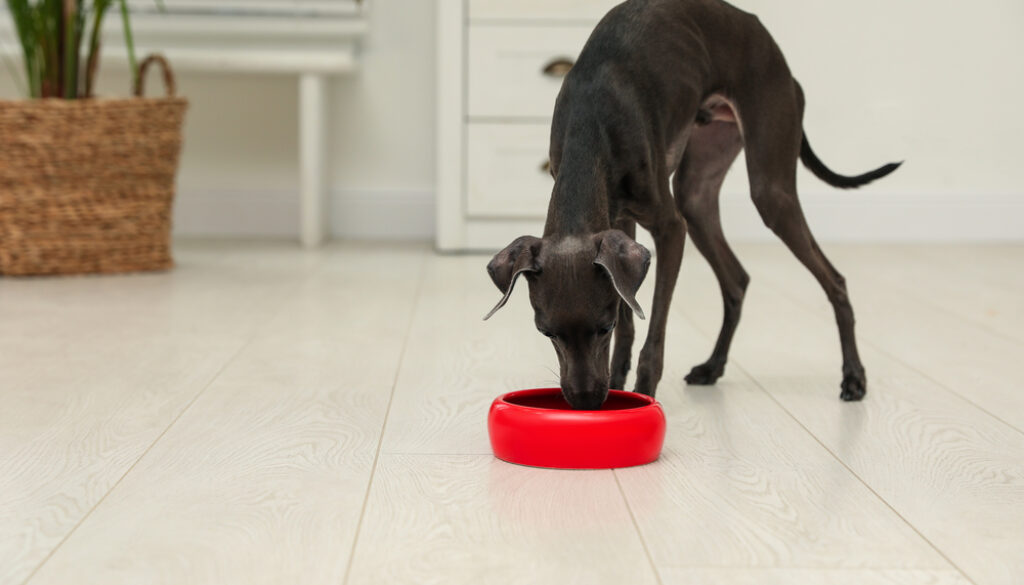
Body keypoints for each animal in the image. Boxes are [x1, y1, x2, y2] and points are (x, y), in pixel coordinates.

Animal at [483, 0, 901, 411]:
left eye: (604, 327)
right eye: (545, 331)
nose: (586, 403)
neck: (591, 121)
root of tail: (780, 61)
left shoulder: (669, 228)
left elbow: (652, 330)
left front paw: (643, 391)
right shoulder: (620, 223)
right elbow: (630, 318)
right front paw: (619, 383)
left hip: (770, 186)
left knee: (834, 279)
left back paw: (854, 377)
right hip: (699, 191)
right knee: (736, 279)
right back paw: (713, 366)